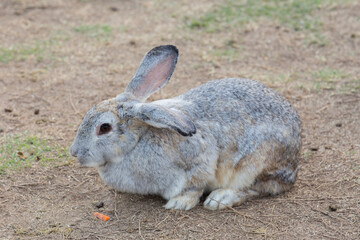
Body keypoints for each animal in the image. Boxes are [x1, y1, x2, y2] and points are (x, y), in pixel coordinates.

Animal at [69, 44, 300, 210]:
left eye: (104, 128)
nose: (75, 152)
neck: (138, 141)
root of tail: (294, 159)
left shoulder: (197, 164)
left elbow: (194, 187)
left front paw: (178, 203)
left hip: (255, 164)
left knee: (261, 187)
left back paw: (221, 198)